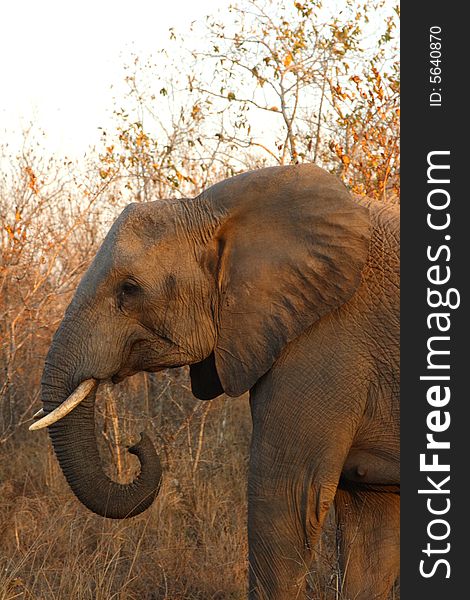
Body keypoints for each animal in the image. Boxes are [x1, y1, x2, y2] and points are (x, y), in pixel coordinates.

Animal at [33, 164, 398, 600]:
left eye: (129, 290)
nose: (136, 443)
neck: (216, 211)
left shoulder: (327, 342)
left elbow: (287, 499)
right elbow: (369, 528)